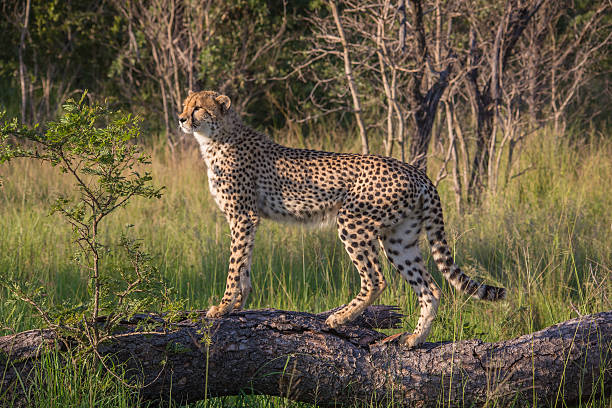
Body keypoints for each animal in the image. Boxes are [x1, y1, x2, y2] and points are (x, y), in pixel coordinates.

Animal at [179, 90, 504, 348]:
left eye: (198, 108)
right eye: (185, 105)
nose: (181, 119)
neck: (216, 138)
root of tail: (416, 171)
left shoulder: (243, 216)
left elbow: (234, 265)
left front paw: (222, 307)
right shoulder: (247, 219)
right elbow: (244, 265)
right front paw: (237, 305)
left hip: (351, 220)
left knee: (376, 279)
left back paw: (339, 318)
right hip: (400, 238)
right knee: (430, 288)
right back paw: (415, 339)